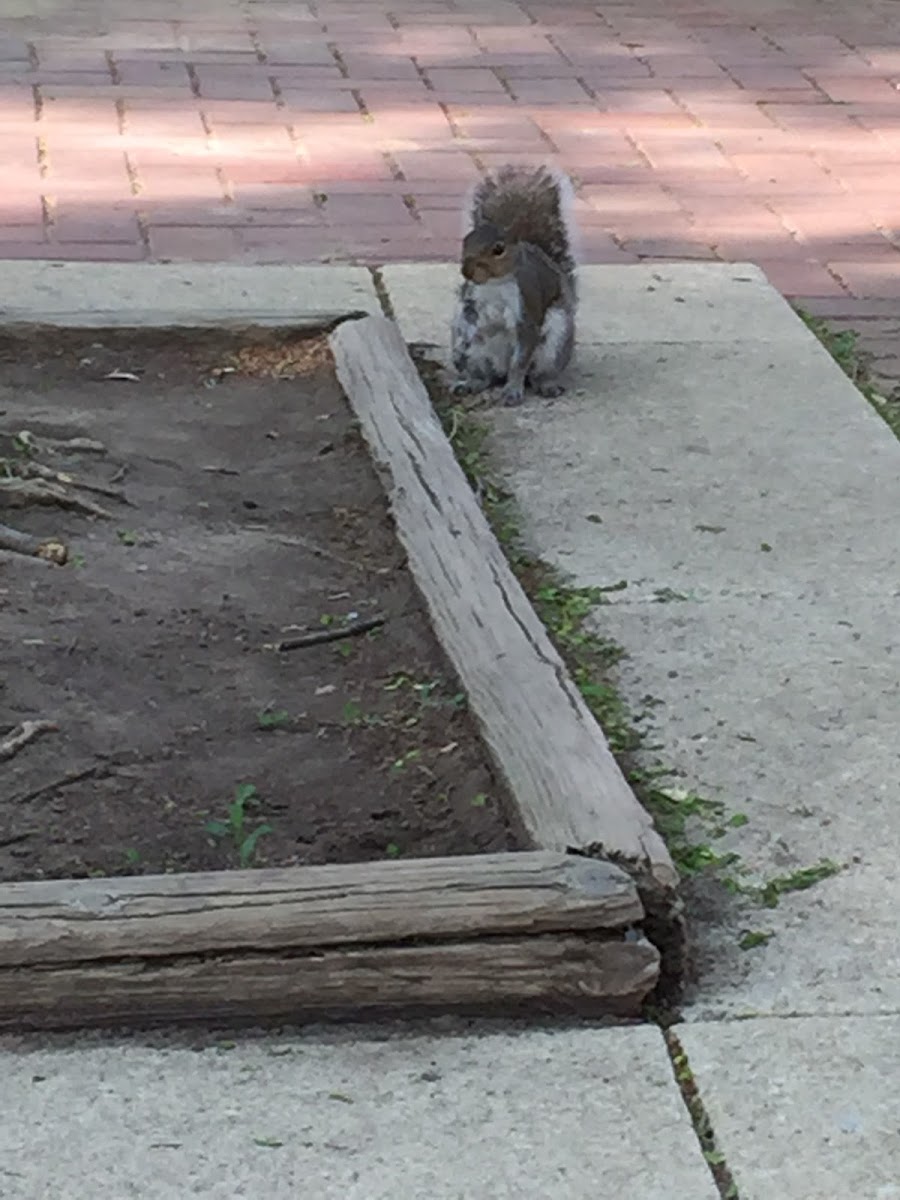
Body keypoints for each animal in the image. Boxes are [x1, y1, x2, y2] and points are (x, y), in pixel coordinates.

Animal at [448, 164, 578, 408]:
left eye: (498, 249)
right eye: (465, 241)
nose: (466, 271)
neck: (494, 284)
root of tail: (500, 369)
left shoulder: (527, 302)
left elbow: (520, 361)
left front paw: (512, 391)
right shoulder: (473, 296)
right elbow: (470, 315)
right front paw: (466, 333)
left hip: (553, 347)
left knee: (536, 374)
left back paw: (545, 385)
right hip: (474, 354)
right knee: (485, 376)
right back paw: (471, 383)